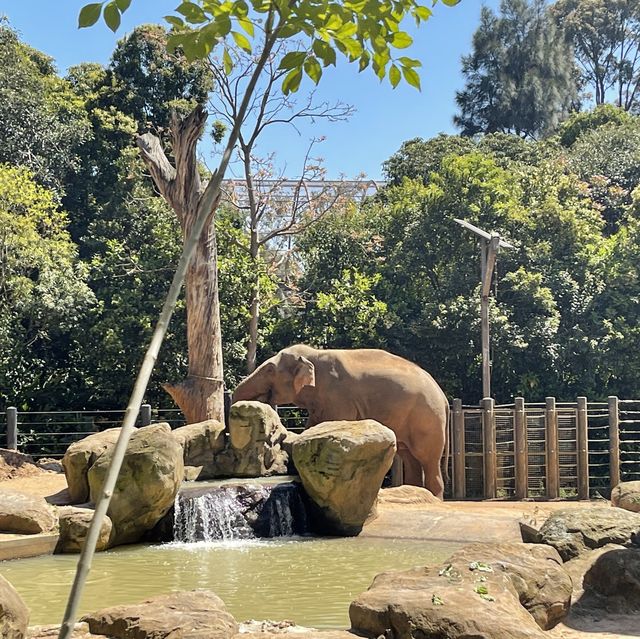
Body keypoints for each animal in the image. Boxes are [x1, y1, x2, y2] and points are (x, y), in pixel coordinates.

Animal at [232, 344, 448, 500]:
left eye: (269, 369)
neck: (314, 354)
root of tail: (443, 396)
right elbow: (313, 427)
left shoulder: (338, 398)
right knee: (410, 458)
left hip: (428, 419)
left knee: (427, 458)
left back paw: (434, 499)